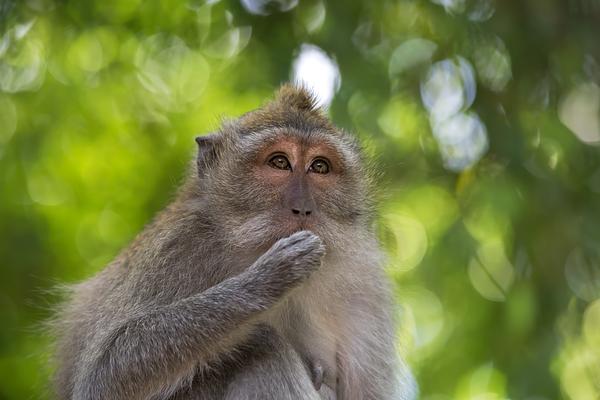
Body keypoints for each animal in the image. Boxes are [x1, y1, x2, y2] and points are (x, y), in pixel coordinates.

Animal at [50, 85, 418, 400]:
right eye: (279, 162)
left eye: (320, 167)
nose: (303, 207)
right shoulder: (179, 245)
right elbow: (106, 375)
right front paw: (266, 280)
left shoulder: (365, 285)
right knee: (265, 345)